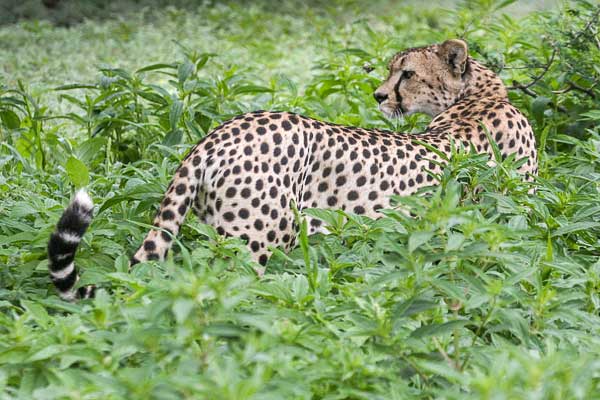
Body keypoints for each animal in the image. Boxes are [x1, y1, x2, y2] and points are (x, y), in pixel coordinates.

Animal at [49, 39, 536, 298]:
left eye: (408, 73)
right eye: (394, 71)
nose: (379, 96)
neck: (479, 95)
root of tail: (219, 131)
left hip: (212, 233)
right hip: (252, 244)